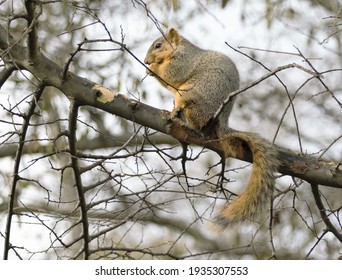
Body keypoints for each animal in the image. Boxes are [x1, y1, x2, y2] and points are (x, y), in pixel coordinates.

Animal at [143, 27, 280, 228]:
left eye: (158, 45)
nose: (146, 61)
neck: (179, 49)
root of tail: (222, 118)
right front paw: (149, 69)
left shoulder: (184, 60)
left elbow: (172, 72)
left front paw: (153, 69)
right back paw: (176, 114)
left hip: (194, 91)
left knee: (196, 117)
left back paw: (180, 116)